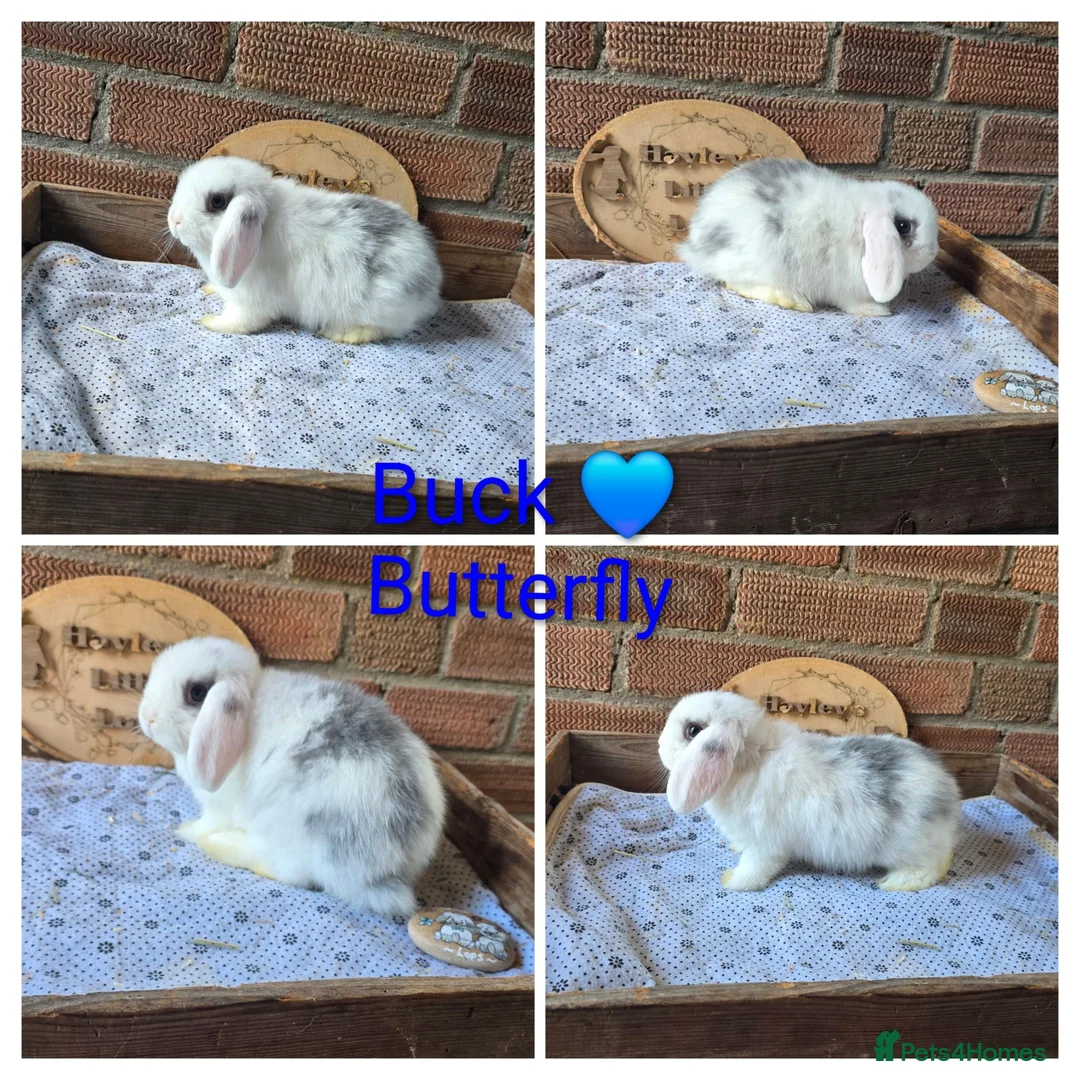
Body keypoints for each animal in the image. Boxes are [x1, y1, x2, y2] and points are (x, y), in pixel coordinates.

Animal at [137, 636, 446, 917]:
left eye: (198, 692)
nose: (148, 717)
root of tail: (388, 868)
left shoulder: (218, 808)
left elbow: (206, 823)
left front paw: (186, 830)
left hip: (289, 831)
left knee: (291, 873)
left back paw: (223, 846)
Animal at [167, 155, 442, 343]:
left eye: (217, 202)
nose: (174, 220)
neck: (266, 224)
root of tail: (431, 280)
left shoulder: (249, 305)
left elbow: (239, 323)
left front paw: (210, 321)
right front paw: (210, 288)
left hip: (379, 309)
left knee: (381, 330)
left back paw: (345, 334)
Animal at [658, 690, 960, 892]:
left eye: (693, 731)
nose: (659, 747)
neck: (753, 759)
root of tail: (948, 791)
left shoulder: (765, 844)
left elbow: (755, 868)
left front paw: (732, 880)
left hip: (911, 847)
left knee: (932, 868)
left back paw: (895, 883)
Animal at [679, 158, 939, 317]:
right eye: (903, 226)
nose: (932, 252)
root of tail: (697, 241)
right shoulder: (846, 288)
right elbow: (852, 303)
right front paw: (877, 310)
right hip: (761, 260)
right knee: (736, 284)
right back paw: (791, 300)